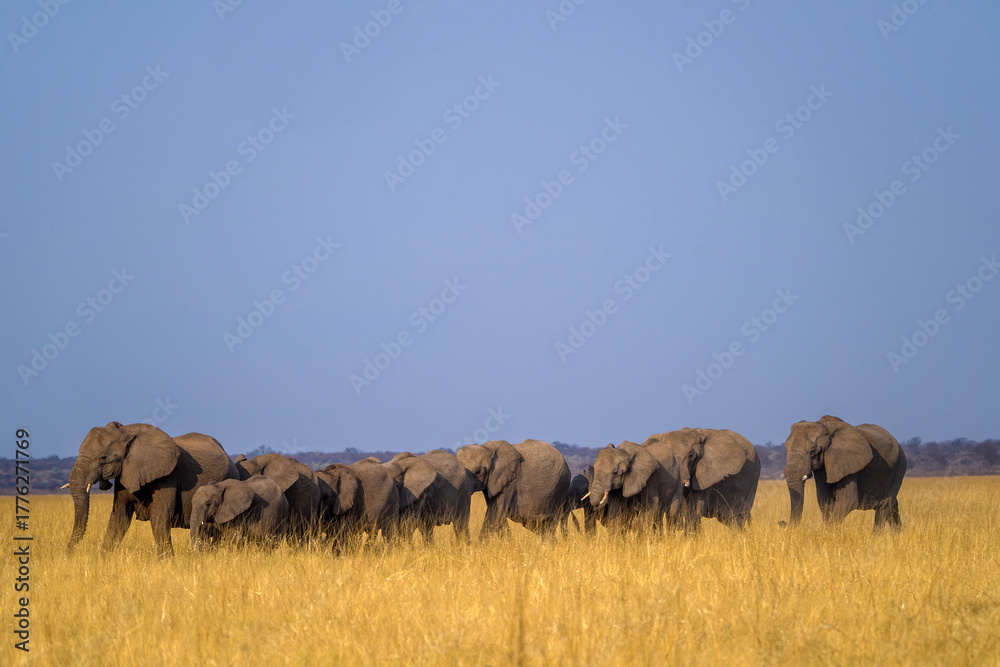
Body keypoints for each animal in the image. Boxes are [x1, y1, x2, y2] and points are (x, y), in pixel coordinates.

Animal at [66, 422, 239, 558]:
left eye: (103, 457)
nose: (68, 553)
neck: (125, 432)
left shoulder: (168, 478)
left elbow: (159, 517)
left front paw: (167, 563)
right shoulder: (125, 474)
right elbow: (119, 517)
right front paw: (103, 559)